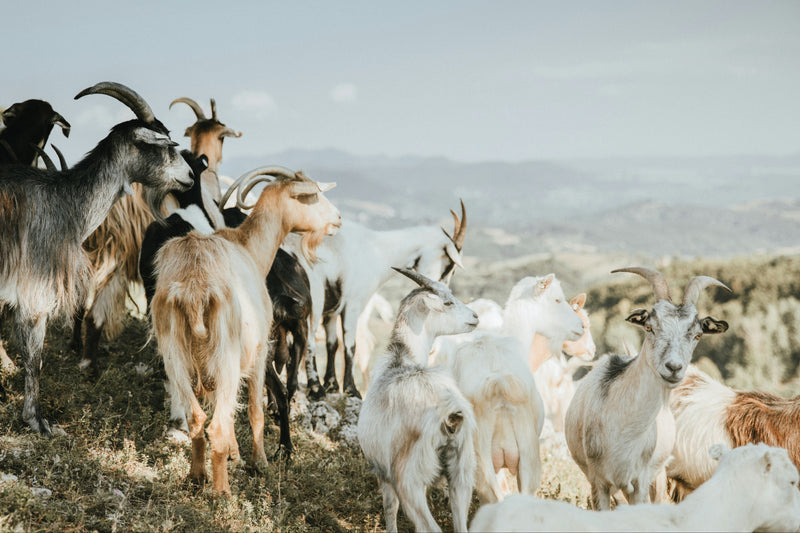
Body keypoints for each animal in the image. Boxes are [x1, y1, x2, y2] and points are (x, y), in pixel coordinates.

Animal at [0, 81, 192, 435]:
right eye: (163, 144)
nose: (189, 177)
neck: (65, 201)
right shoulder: (34, 292)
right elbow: (34, 358)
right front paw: (36, 421)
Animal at [151, 167, 340, 494]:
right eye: (313, 195)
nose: (338, 218)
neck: (248, 247)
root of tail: (194, 286)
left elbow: (227, 409)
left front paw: (234, 455)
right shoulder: (259, 350)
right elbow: (255, 411)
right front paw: (258, 461)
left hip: (175, 354)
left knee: (197, 418)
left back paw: (197, 476)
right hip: (224, 351)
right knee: (216, 424)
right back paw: (222, 492)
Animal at [286, 201, 467, 399]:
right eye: (450, 264)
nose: (440, 288)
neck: (376, 249)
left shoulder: (332, 311)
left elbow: (332, 344)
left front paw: (332, 385)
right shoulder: (353, 304)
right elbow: (350, 346)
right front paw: (351, 389)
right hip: (315, 301)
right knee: (308, 340)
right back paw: (315, 389)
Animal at [357, 268, 479, 532]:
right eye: (447, 302)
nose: (475, 317)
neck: (401, 358)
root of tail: (450, 414)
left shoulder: (383, 471)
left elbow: (390, 507)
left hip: (410, 480)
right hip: (461, 475)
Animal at [564, 267, 730, 509]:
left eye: (697, 335)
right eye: (649, 328)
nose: (673, 367)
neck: (624, 429)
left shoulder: (640, 481)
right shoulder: (598, 482)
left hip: (658, 475)